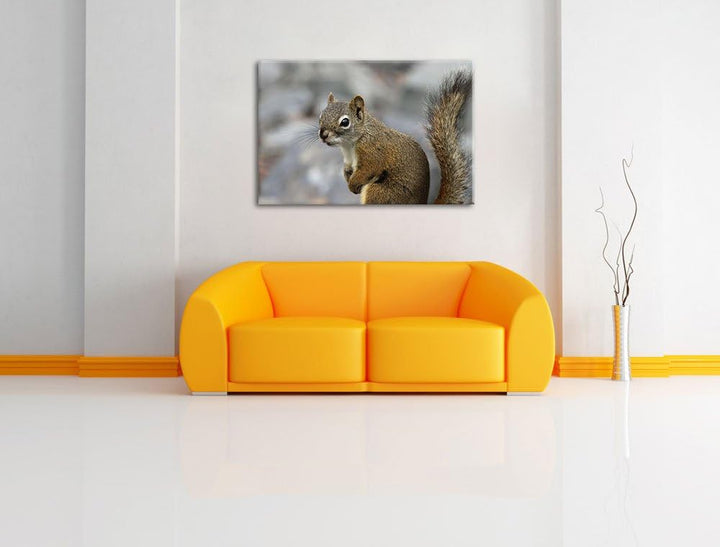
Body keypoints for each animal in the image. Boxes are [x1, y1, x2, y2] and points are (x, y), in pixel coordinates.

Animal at [318, 70, 472, 204]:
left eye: (345, 122)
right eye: (320, 116)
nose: (323, 135)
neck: (350, 144)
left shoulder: (372, 152)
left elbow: (368, 169)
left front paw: (353, 184)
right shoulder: (349, 159)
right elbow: (348, 169)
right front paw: (347, 177)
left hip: (381, 193)